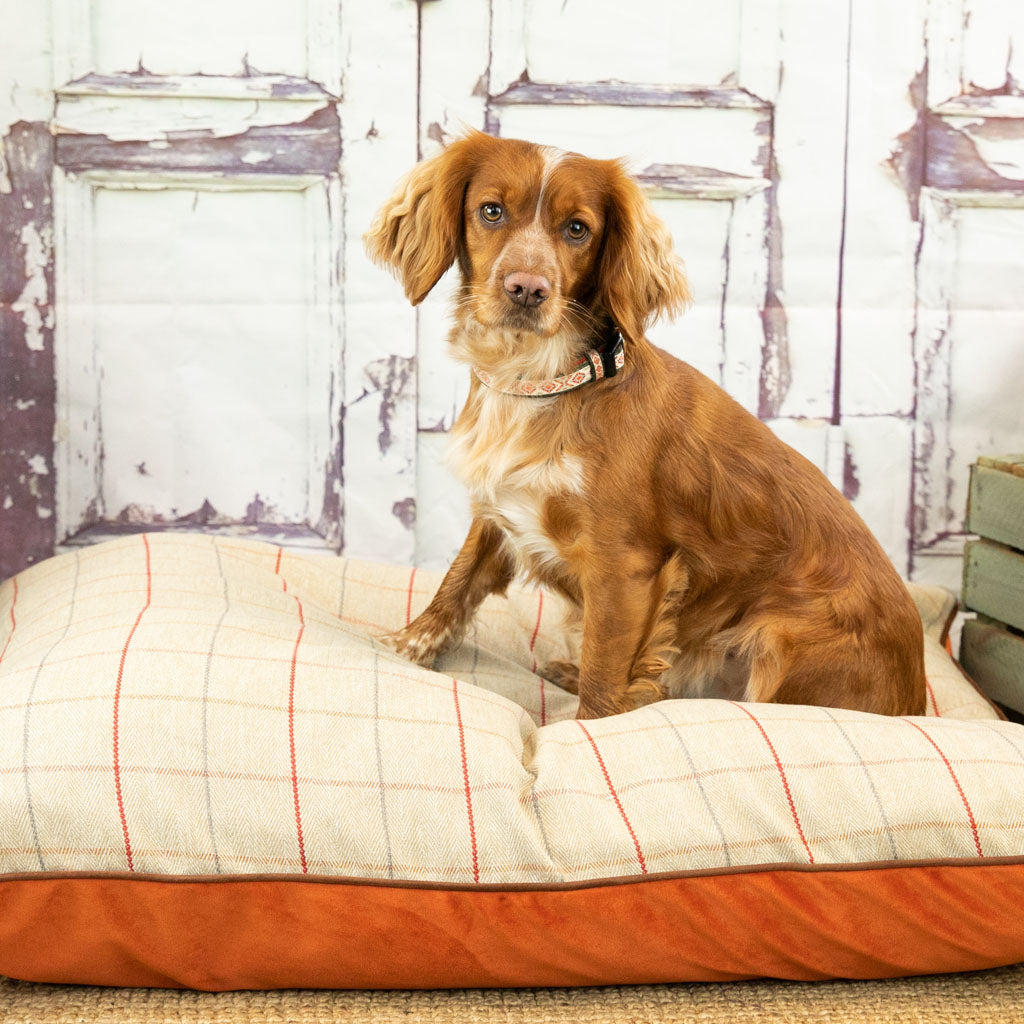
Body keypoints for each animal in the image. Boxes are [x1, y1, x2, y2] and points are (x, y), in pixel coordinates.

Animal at [364, 130, 925, 720]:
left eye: (577, 228)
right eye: (491, 211)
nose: (527, 288)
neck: (544, 378)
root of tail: (917, 698)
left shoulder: (625, 565)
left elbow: (604, 669)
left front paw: (583, 727)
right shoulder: (498, 506)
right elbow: (458, 580)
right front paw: (403, 645)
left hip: (780, 640)